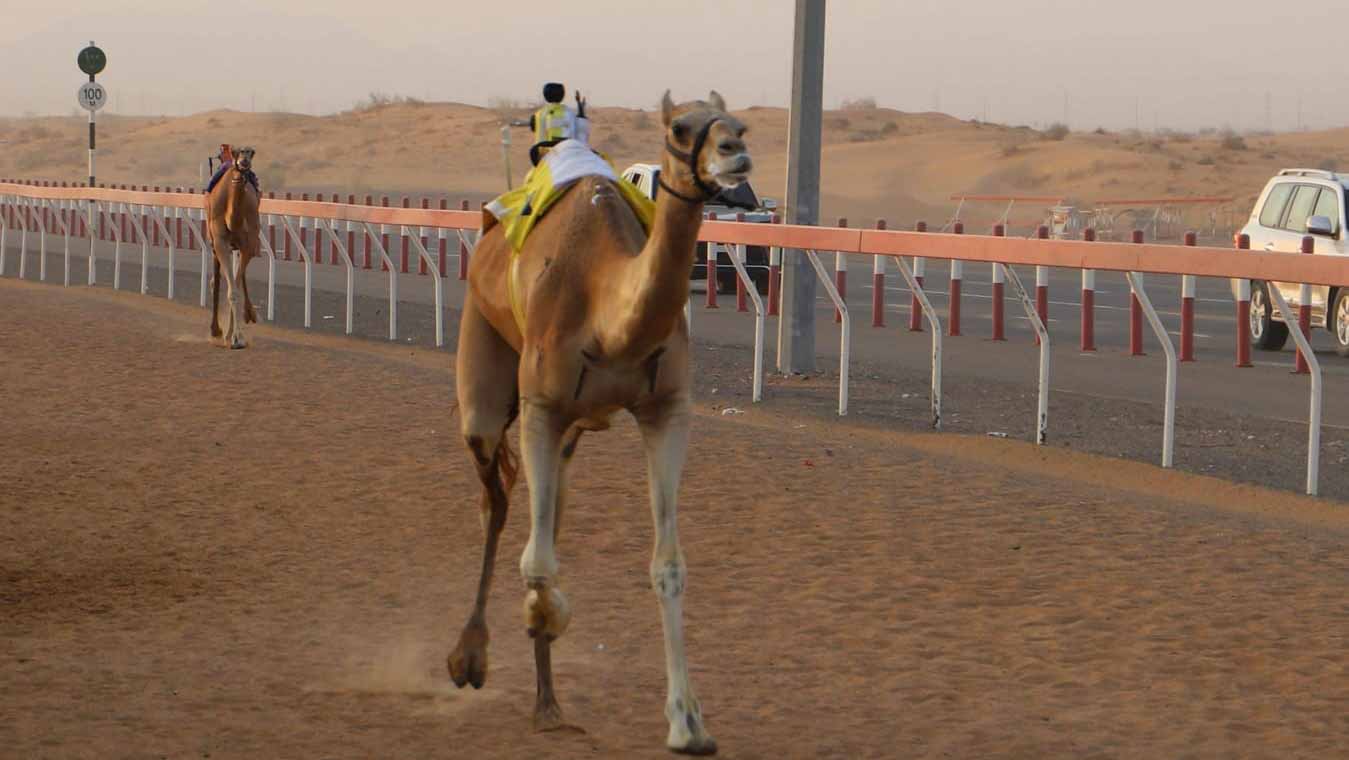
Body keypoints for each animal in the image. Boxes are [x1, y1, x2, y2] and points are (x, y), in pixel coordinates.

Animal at [202, 145, 260, 348]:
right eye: (238, 152)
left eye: (252, 152)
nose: (244, 161)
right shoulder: (219, 242)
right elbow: (230, 289)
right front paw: (231, 336)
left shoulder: (249, 244)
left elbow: (235, 286)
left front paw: (236, 337)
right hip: (213, 242)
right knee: (218, 280)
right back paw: (216, 330)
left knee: (237, 278)